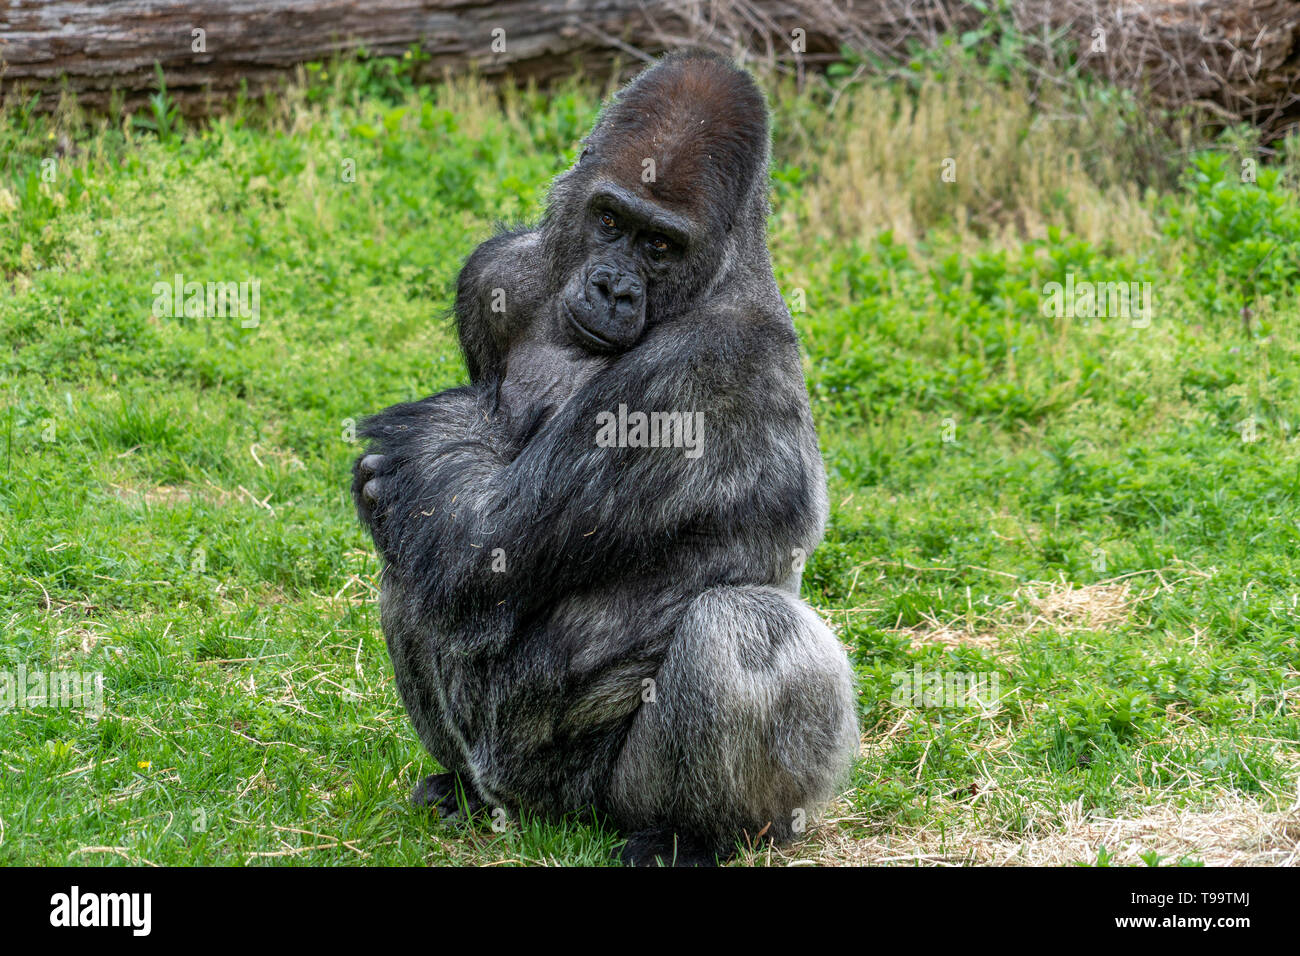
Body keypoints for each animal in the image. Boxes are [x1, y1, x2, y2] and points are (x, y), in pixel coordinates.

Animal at [352, 50, 859, 866]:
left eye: (660, 246)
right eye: (611, 220)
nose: (613, 288)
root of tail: (532, 812)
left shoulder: (706, 367)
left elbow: (478, 539)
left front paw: (413, 452)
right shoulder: (496, 273)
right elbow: (456, 539)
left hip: (598, 801)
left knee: (747, 630)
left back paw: (686, 836)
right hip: (510, 782)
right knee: (408, 561)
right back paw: (460, 787)